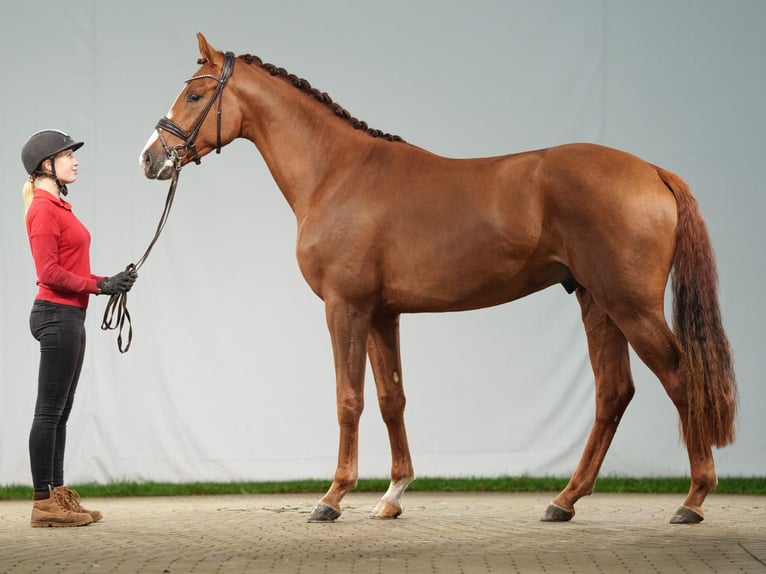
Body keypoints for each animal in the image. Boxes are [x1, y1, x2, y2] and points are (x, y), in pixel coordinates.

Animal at [142, 33, 736, 524]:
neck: (336, 173)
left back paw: (692, 500)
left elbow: (348, 398)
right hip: (596, 301)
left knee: (681, 379)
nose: (150, 159)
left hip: (631, 306)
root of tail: (654, 172)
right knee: (613, 392)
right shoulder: (382, 313)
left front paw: (332, 498)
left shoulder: (345, 307)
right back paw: (564, 500)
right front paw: (392, 496)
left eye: (194, 95)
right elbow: (391, 398)